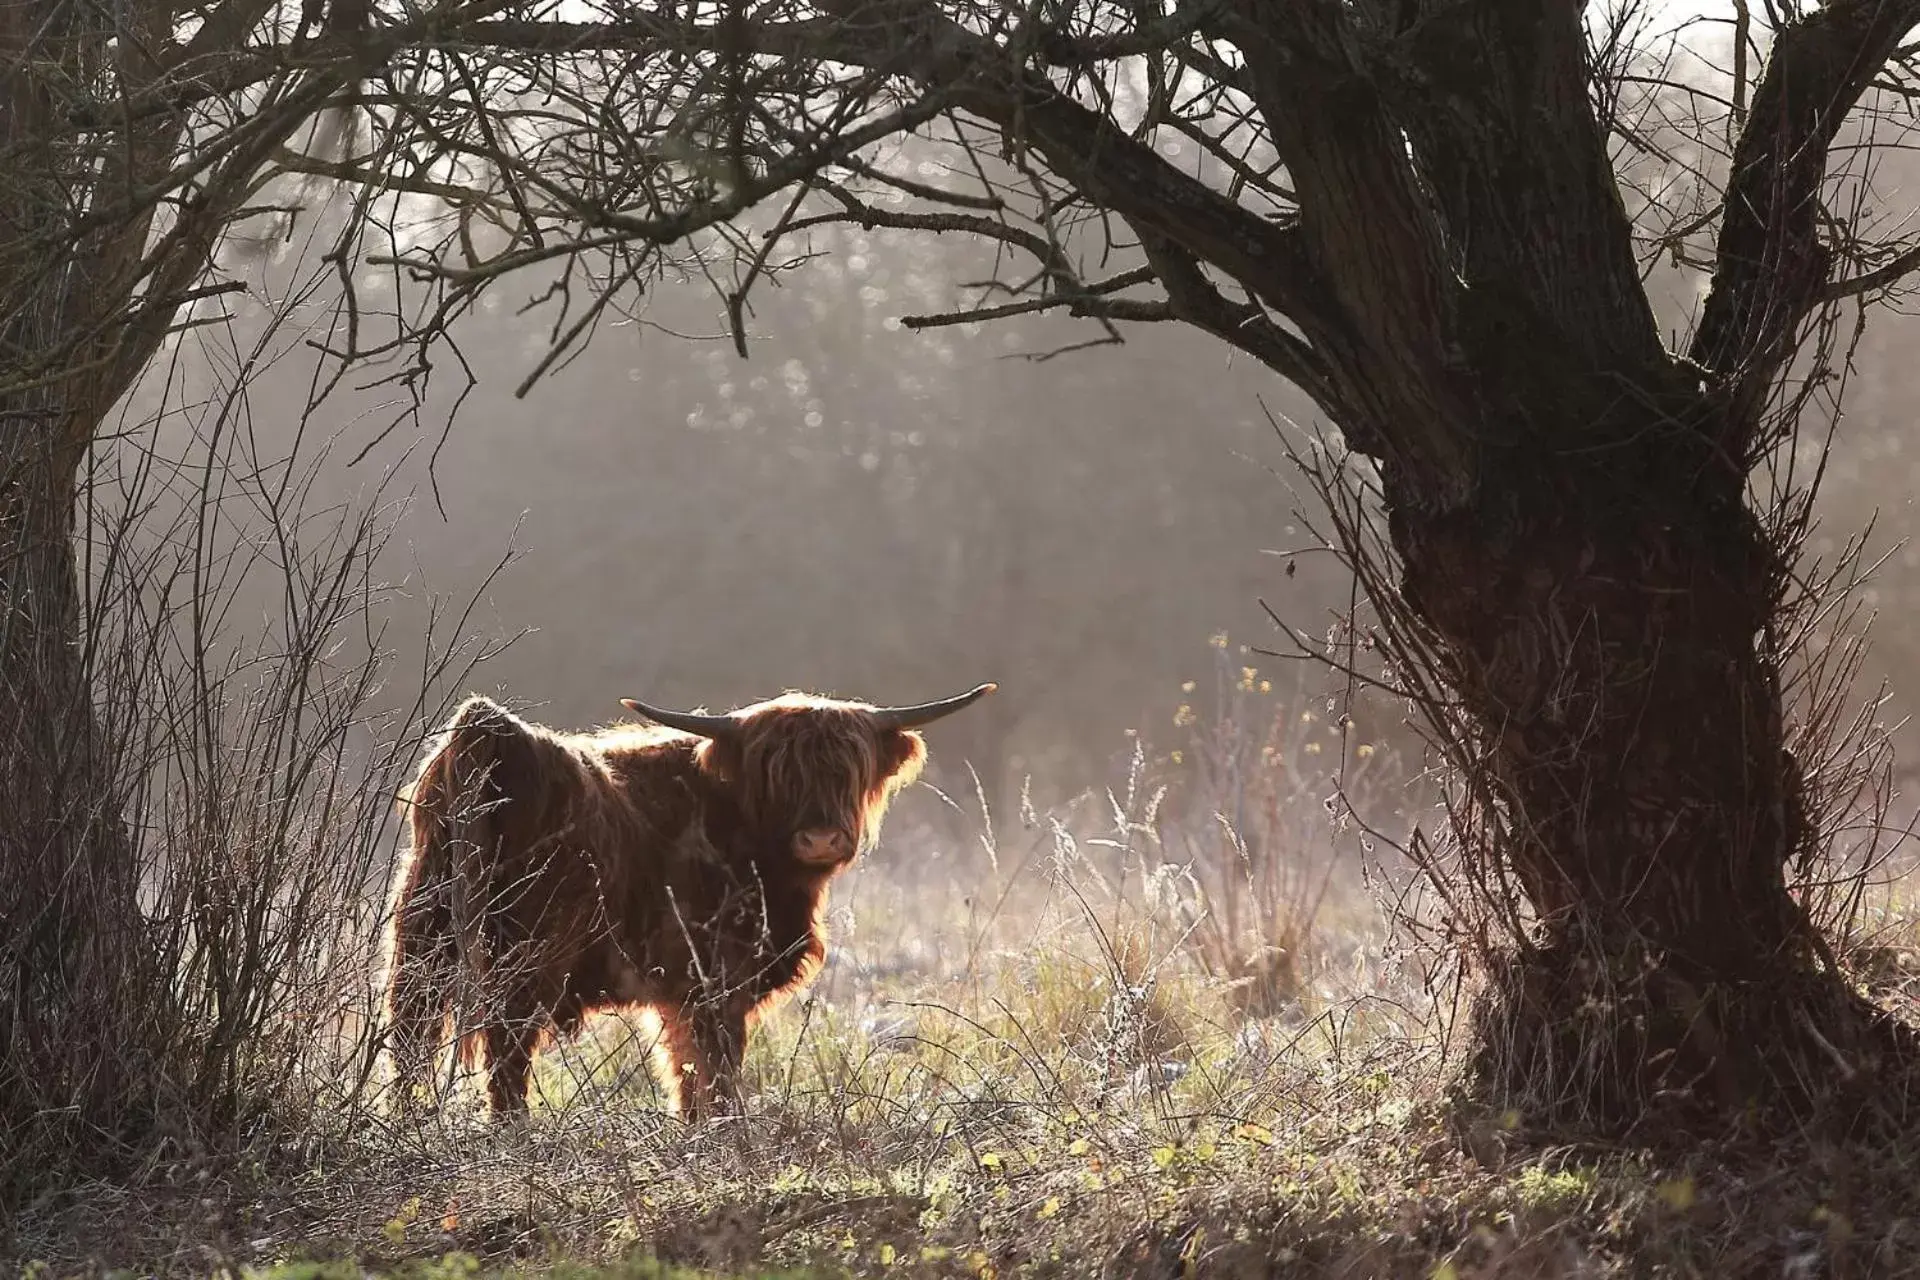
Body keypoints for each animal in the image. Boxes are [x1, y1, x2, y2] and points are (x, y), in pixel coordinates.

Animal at [384, 679, 998, 1120]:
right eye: (776, 772)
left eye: (850, 768)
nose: (821, 838)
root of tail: (488, 730)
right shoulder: (715, 982)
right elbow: (716, 1070)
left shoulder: (679, 994)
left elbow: (685, 1071)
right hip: (522, 958)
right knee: (505, 1050)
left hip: (421, 940)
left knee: (412, 1038)